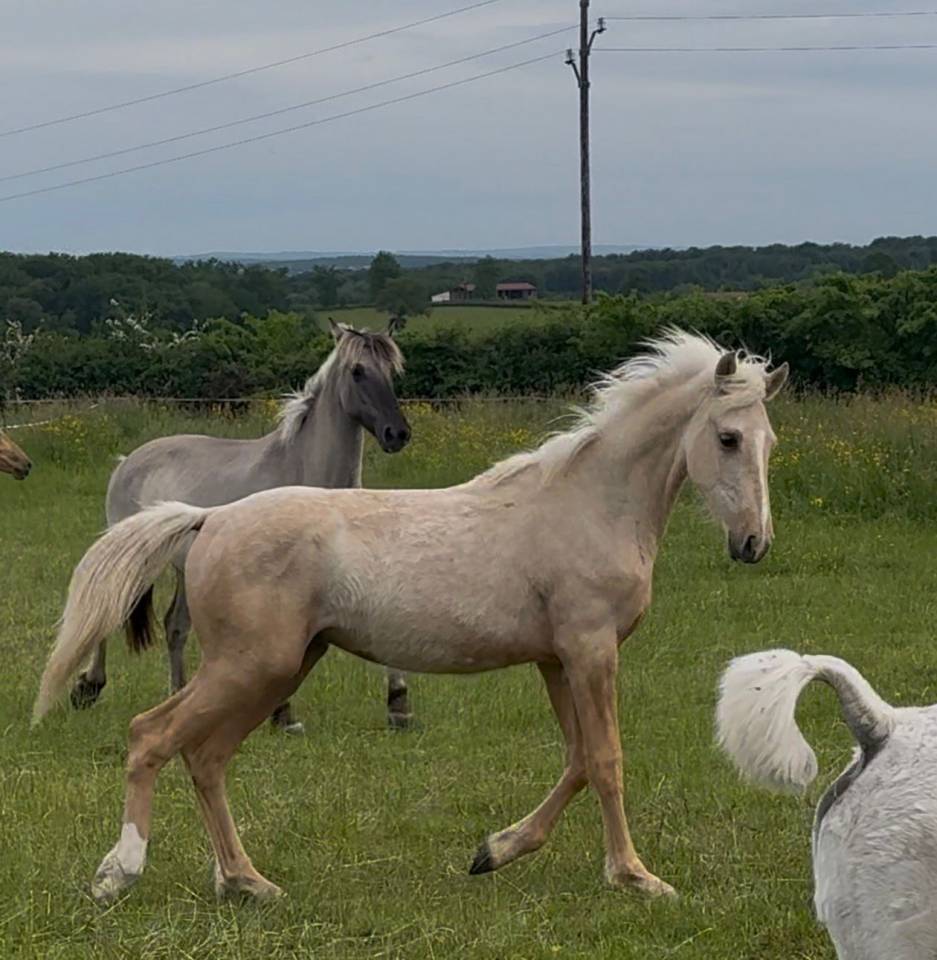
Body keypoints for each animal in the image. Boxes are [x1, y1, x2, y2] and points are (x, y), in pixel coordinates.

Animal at [68, 320, 413, 735]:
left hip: (184, 568)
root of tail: (127, 461)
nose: (397, 434)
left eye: (393, 372)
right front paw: (282, 714)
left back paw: (176, 695)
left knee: (174, 627)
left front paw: (398, 705)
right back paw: (88, 687)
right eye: (357, 371)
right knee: (110, 612)